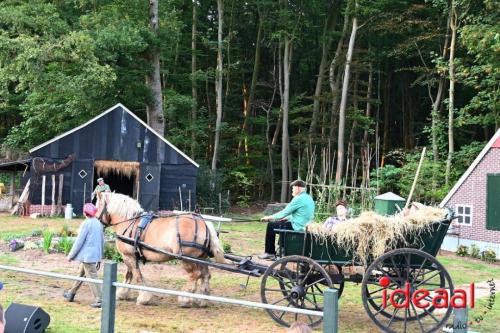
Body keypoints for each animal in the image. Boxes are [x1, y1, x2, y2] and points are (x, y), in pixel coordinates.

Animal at [95, 192, 225, 306]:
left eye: (97, 206)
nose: (95, 220)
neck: (129, 221)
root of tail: (203, 222)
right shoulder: (130, 256)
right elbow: (129, 274)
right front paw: (122, 294)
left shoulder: (128, 256)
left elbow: (137, 276)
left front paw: (143, 298)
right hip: (201, 258)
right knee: (206, 275)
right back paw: (202, 300)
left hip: (187, 259)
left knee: (195, 275)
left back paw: (185, 299)